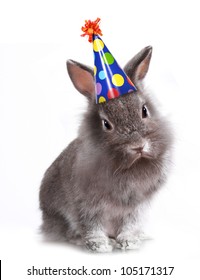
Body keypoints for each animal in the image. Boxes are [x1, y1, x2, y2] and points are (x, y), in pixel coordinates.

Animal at [39, 46, 173, 252]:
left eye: (144, 110)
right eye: (106, 124)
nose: (138, 146)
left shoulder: (136, 207)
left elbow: (129, 223)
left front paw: (129, 241)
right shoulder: (86, 205)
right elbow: (91, 225)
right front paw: (99, 245)